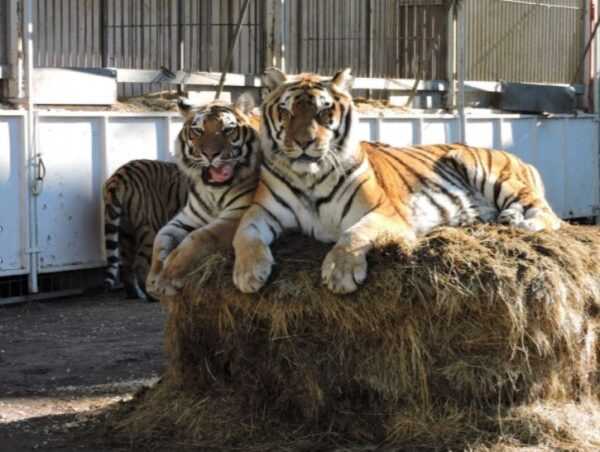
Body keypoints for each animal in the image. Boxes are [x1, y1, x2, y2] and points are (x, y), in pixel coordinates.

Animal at [101, 160, 190, 304]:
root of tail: (120, 175)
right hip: (150, 229)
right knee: (140, 265)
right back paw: (151, 296)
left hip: (126, 232)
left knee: (125, 265)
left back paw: (133, 294)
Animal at [146, 94, 262, 296]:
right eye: (198, 131)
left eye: (228, 130)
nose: (210, 154)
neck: (213, 192)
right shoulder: (187, 217)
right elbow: (160, 238)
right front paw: (153, 278)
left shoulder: (237, 215)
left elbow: (198, 237)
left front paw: (168, 275)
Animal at [232, 67, 560, 294]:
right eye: (286, 111)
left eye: (324, 111)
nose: (303, 142)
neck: (309, 178)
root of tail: (520, 158)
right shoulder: (260, 212)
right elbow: (243, 236)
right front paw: (248, 274)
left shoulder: (384, 213)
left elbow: (353, 234)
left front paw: (340, 272)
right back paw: (505, 218)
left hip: (484, 169)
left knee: (549, 215)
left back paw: (523, 223)